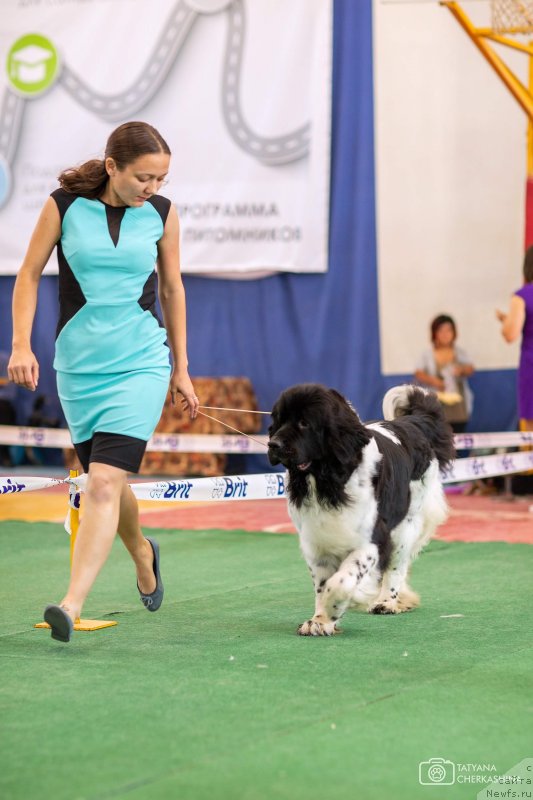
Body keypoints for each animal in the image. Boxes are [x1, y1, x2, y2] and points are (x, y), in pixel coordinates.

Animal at [266, 382, 454, 636]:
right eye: (278, 420)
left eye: (304, 423)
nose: (273, 444)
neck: (329, 480)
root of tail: (413, 423)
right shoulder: (316, 541)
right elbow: (322, 583)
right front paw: (320, 620)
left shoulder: (372, 539)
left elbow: (341, 581)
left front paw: (343, 603)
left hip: (406, 525)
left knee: (396, 567)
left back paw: (387, 602)